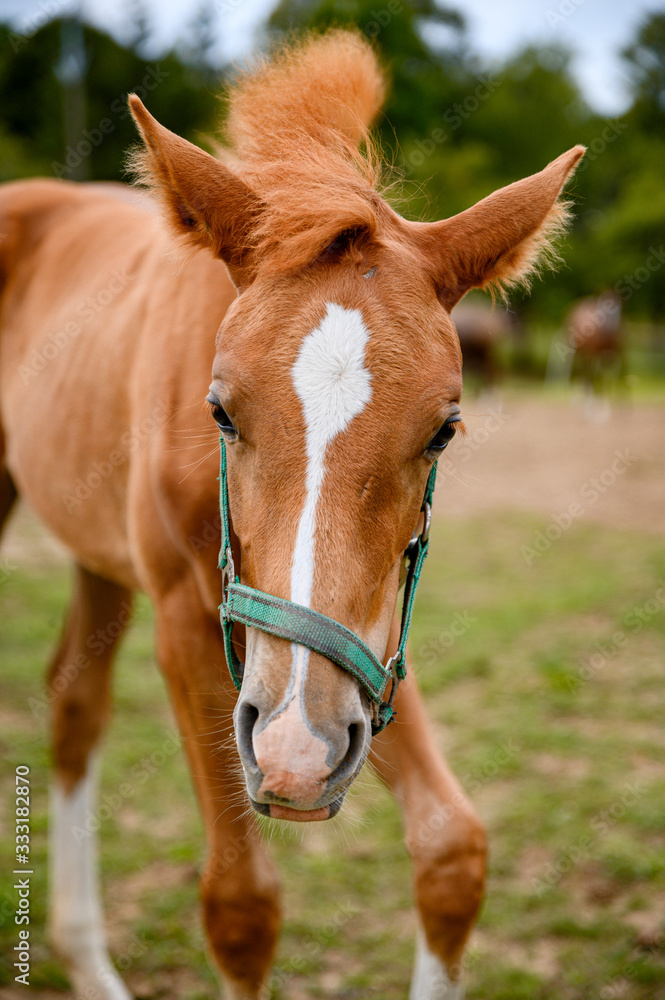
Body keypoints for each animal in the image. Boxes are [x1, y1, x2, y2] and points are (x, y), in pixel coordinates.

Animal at [0, 30, 583, 1000]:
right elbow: (241, 910)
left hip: (98, 554)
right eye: (220, 412)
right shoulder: (190, 628)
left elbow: (451, 850)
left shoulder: (365, 641)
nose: (297, 754)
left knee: (74, 704)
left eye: (444, 429)